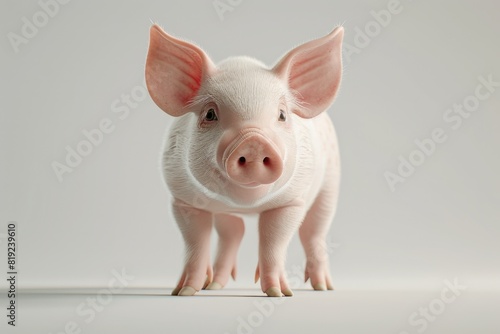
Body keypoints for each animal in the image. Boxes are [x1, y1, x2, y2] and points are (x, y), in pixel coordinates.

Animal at [145, 24, 344, 296]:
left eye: (282, 115)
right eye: (210, 114)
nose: (253, 142)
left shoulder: (291, 202)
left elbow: (273, 243)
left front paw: (279, 293)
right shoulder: (183, 200)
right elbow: (195, 243)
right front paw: (184, 292)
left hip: (330, 185)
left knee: (314, 232)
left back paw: (324, 287)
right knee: (233, 231)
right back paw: (213, 286)